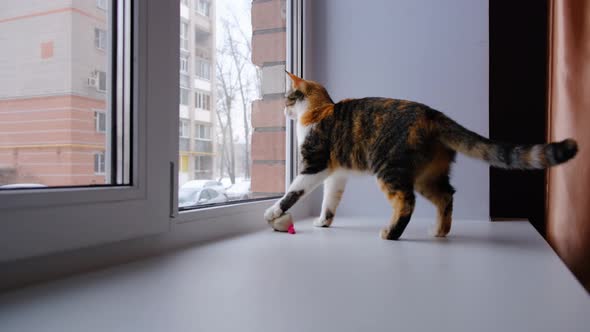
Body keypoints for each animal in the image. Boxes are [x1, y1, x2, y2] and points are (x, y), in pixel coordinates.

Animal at [266, 72, 580, 240]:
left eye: (288, 98)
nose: (281, 109)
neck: (318, 111)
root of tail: (432, 114)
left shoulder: (315, 165)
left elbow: (294, 191)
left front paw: (274, 212)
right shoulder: (337, 174)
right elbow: (330, 200)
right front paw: (323, 222)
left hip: (389, 169)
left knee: (407, 202)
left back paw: (391, 233)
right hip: (428, 175)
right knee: (446, 196)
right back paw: (439, 231)